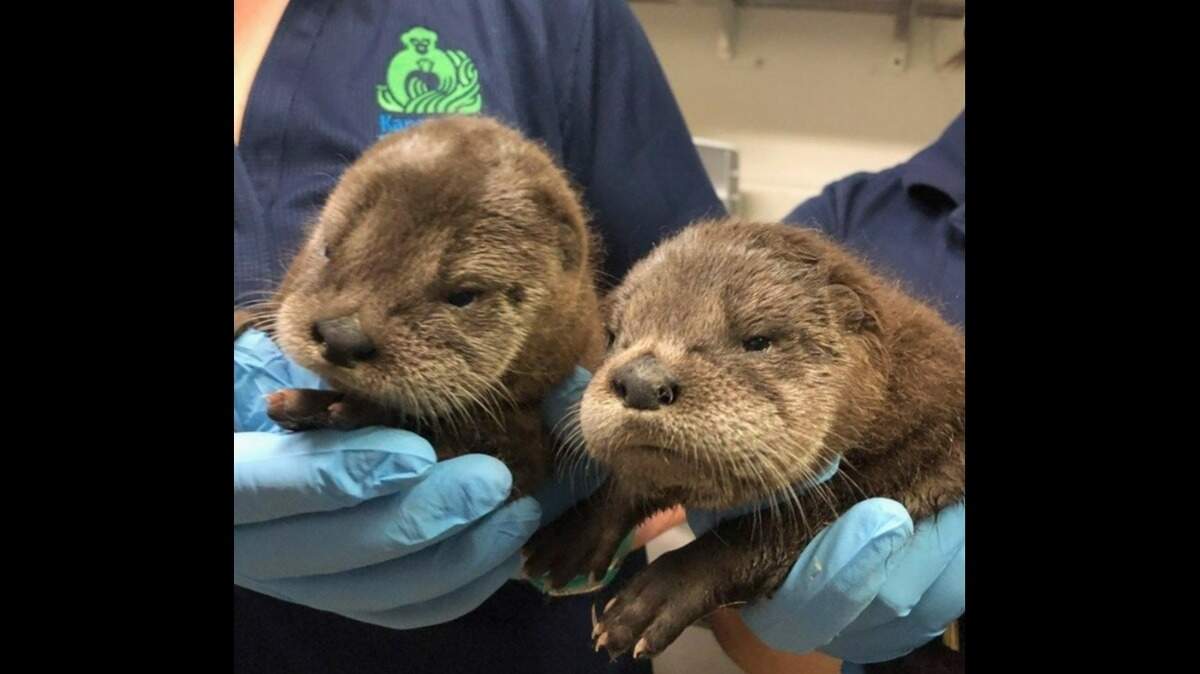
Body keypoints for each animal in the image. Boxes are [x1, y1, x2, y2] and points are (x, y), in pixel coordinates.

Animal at [523, 219, 964, 664]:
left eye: (757, 340)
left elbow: (764, 534)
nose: (641, 382)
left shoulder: (915, 465)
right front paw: (573, 536)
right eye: (615, 336)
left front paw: (651, 599)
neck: (901, 393)